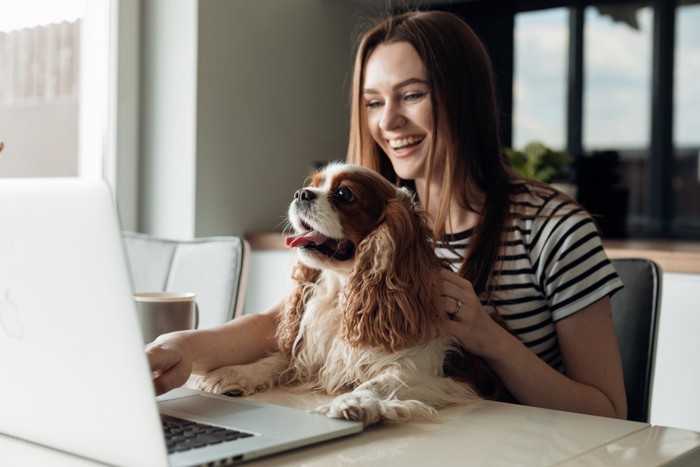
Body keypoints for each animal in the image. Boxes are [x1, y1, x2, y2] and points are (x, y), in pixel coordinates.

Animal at [197, 163, 504, 426]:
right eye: (313, 185)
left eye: (345, 194)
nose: (301, 194)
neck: (343, 290)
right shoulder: (313, 350)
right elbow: (276, 360)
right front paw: (233, 373)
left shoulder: (424, 369)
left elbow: (383, 382)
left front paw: (354, 402)